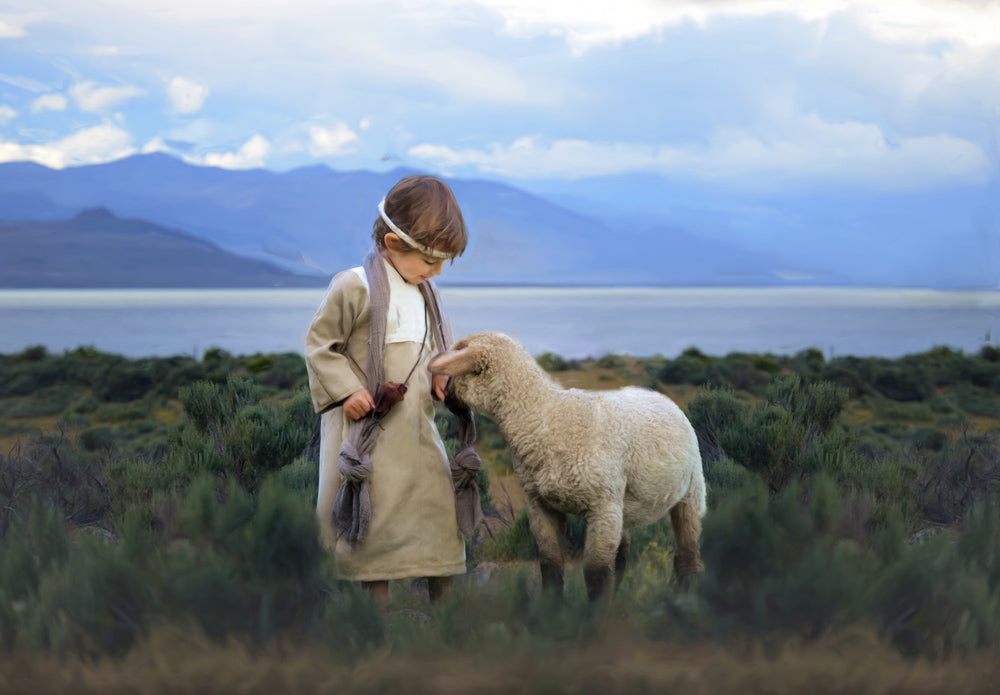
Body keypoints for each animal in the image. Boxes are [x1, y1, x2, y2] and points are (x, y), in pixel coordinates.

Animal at [429, 331, 706, 601]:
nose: (435, 392)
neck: (548, 419)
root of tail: (659, 396)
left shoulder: (602, 505)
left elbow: (596, 574)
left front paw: (598, 615)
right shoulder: (540, 505)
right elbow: (550, 566)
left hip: (690, 491)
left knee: (687, 556)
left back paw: (684, 598)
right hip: (623, 505)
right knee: (622, 557)